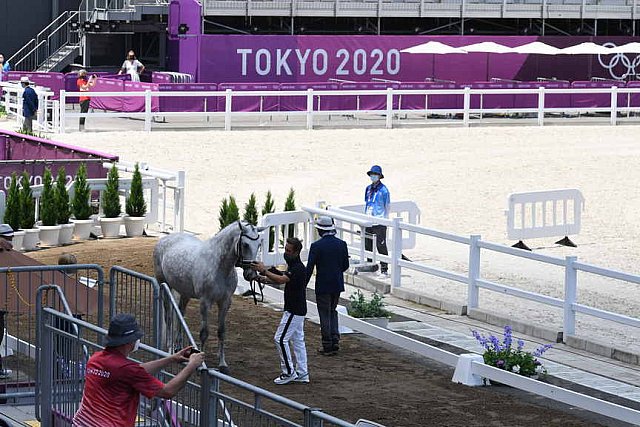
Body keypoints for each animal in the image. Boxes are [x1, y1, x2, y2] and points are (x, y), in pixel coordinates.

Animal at [154, 222, 262, 372]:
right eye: (245, 244)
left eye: (259, 244)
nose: (251, 274)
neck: (218, 266)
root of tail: (165, 239)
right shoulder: (205, 302)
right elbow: (204, 332)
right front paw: (201, 364)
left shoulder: (225, 302)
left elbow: (221, 331)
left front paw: (222, 364)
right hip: (164, 285)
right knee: (169, 316)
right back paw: (169, 347)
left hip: (185, 293)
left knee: (180, 313)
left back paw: (178, 346)